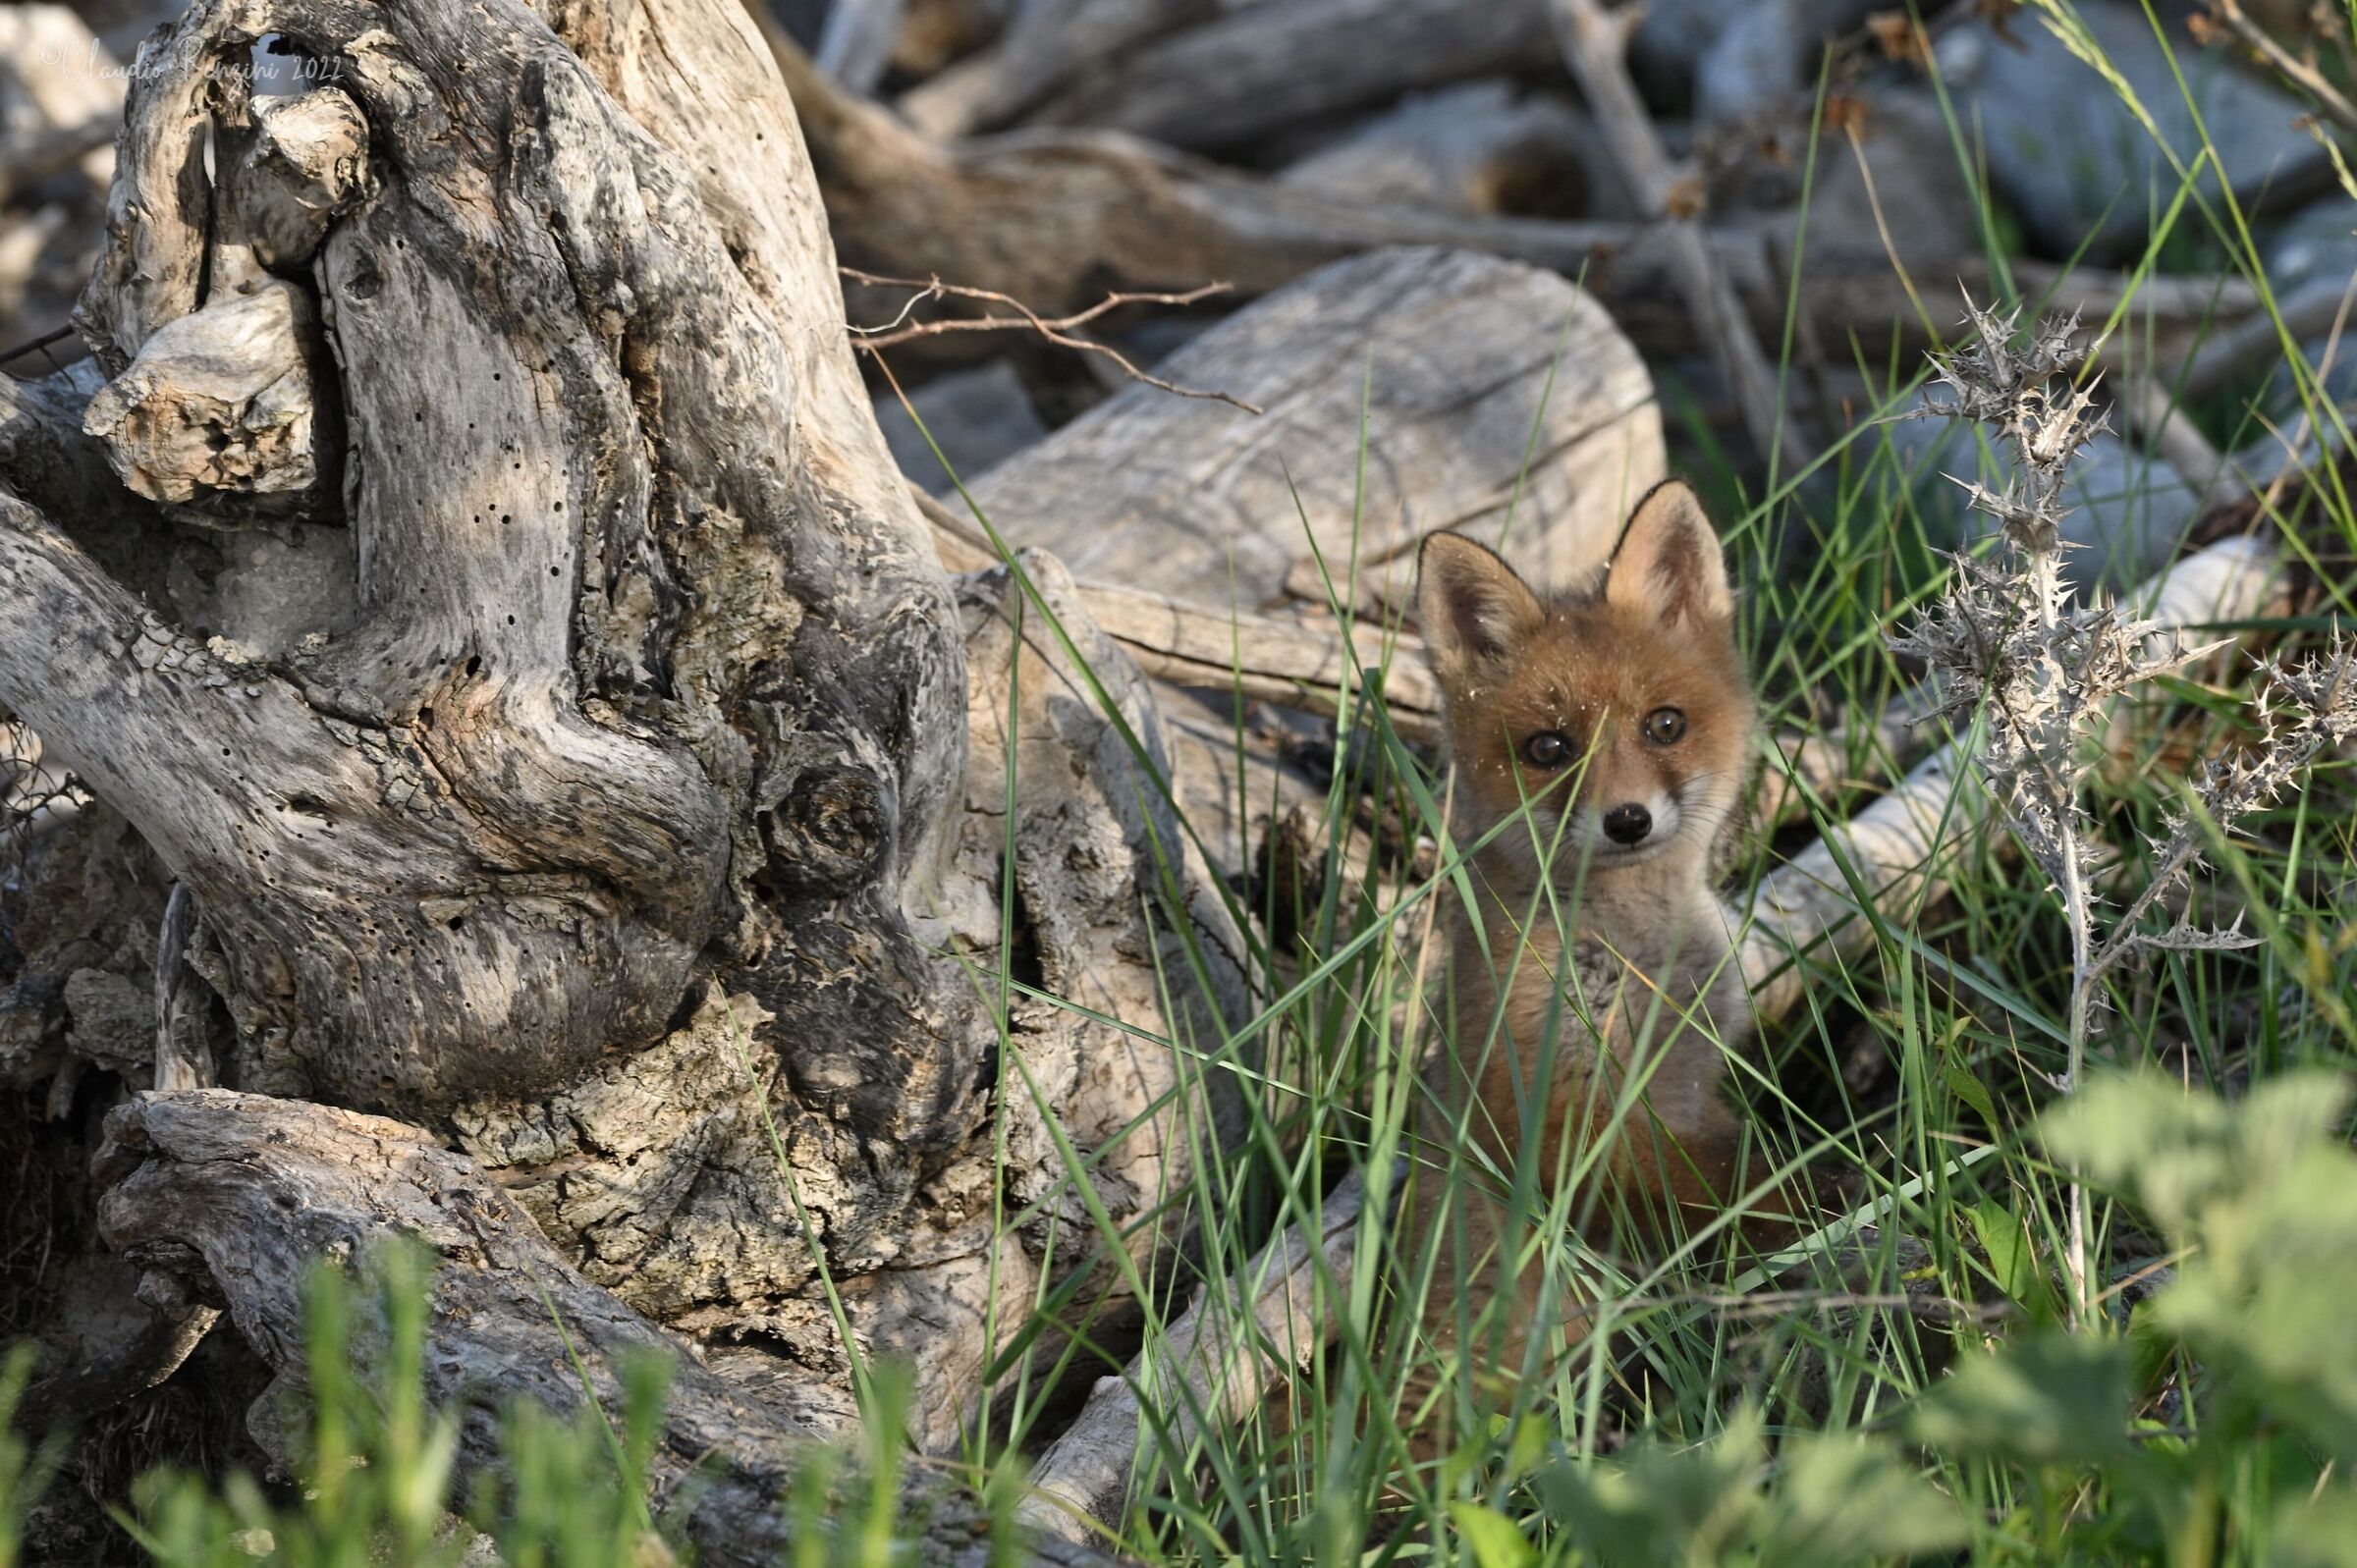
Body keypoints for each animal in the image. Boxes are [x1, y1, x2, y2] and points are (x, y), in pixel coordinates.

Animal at [1398, 479, 1765, 1434]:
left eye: (1664, 724)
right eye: (1550, 749)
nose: (1627, 819)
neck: (1640, 962)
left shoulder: (1693, 1080)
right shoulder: (1542, 1108)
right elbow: (1723, 1175)